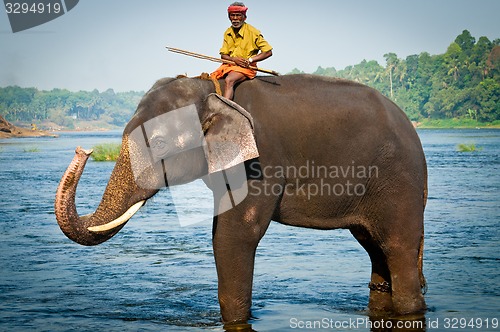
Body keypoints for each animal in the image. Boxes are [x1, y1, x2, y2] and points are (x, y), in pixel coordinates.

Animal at [55, 73, 430, 326]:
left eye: (159, 144)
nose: (82, 150)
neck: (211, 90)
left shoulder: (259, 161)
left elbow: (235, 235)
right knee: (375, 248)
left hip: (399, 183)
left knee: (398, 246)